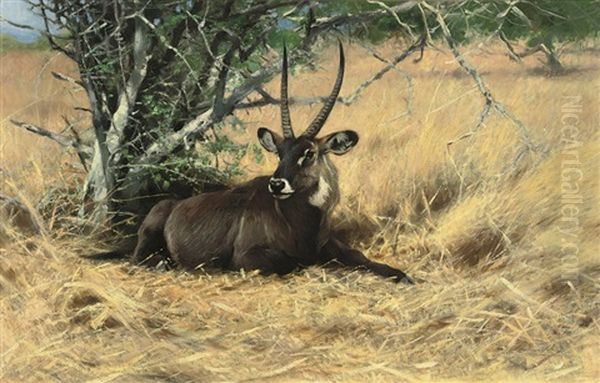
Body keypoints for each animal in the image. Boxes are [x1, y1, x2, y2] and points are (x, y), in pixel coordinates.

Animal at [130, 44, 412, 284]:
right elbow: (293, 263)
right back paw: (163, 262)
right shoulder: (247, 256)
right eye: (280, 153)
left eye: (309, 153)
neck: (300, 222)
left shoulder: (330, 245)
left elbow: (358, 256)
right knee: (138, 259)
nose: (277, 184)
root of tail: (172, 203)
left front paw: (401, 275)